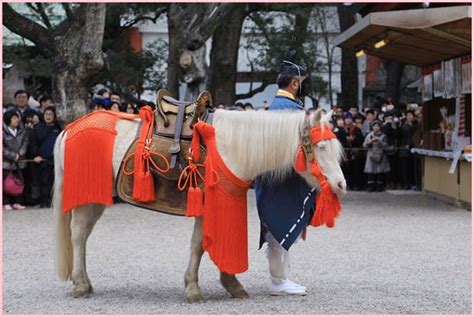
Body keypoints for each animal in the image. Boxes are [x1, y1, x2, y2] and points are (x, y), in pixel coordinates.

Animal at [53, 108, 346, 302]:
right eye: (320, 148)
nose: (341, 184)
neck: (229, 146)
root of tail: (71, 128)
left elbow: (205, 242)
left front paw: (230, 283)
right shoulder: (211, 205)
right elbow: (200, 245)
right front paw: (195, 288)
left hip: (95, 200)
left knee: (82, 236)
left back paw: (84, 281)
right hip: (87, 198)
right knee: (78, 235)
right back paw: (81, 285)